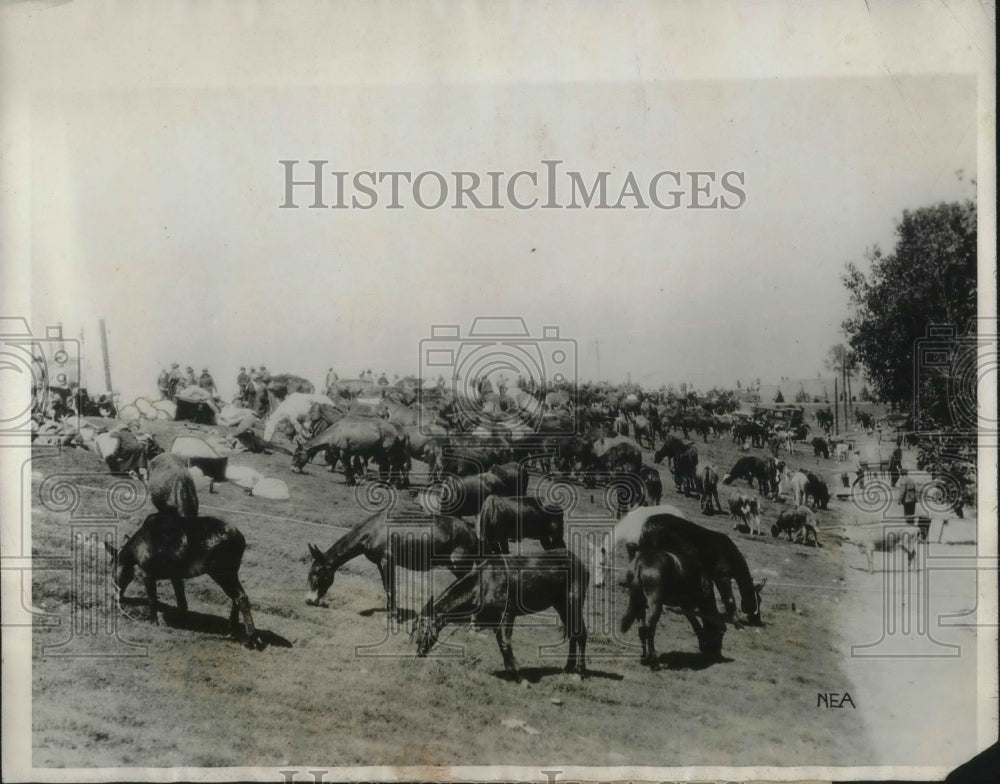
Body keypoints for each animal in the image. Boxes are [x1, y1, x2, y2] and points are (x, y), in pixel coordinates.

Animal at [104, 512, 262, 648]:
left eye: (112, 569)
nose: (116, 597)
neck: (137, 547)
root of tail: (241, 539)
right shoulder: (176, 575)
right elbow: (182, 601)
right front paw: (183, 622)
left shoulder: (147, 574)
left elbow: (152, 600)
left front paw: (154, 622)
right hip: (231, 574)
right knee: (236, 598)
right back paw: (231, 628)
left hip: (222, 573)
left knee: (241, 598)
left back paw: (250, 639)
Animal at [302, 512, 478, 620]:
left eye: (316, 572)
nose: (308, 600)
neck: (373, 531)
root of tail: (472, 533)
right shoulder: (380, 563)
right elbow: (386, 586)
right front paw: (389, 611)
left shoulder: (387, 560)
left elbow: (390, 587)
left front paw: (393, 615)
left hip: (460, 564)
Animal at [414, 544, 584, 680]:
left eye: (423, 627)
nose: (418, 653)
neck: (483, 584)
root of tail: (579, 562)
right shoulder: (494, 620)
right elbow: (501, 645)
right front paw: (511, 670)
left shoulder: (506, 615)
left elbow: (504, 643)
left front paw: (519, 675)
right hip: (561, 607)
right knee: (573, 634)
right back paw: (568, 667)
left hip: (572, 604)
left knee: (580, 633)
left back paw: (579, 672)